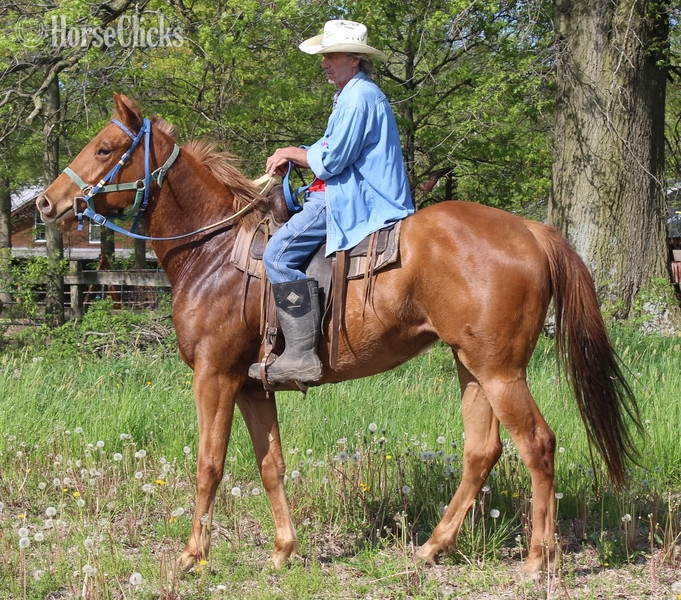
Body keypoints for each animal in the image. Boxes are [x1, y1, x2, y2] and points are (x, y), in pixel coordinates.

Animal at [36, 93, 641, 576]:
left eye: (105, 148)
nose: (47, 202)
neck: (213, 253)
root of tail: (533, 231)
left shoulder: (215, 377)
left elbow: (210, 465)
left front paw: (191, 557)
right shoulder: (252, 385)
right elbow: (271, 464)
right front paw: (283, 550)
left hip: (500, 371)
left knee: (537, 445)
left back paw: (538, 561)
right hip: (471, 367)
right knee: (482, 451)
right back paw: (432, 548)